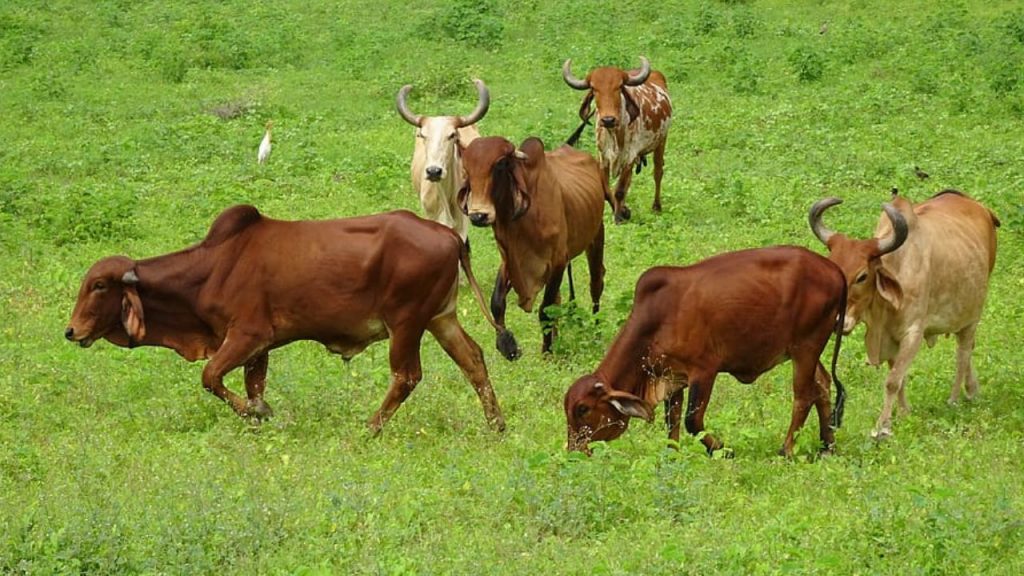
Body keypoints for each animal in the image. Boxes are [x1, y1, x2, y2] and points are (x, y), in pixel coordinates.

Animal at [66, 204, 509, 430]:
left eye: (99, 286)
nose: (71, 331)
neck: (212, 268)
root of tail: (448, 235)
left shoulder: (245, 334)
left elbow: (210, 378)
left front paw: (259, 413)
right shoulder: (259, 348)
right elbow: (251, 385)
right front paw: (259, 417)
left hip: (407, 323)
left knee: (407, 376)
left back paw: (370, 427)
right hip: (440, 318)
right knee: (473, 360)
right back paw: (496, 424)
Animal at [460, 136, 610, 356]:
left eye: (500, 164)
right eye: (466, 169)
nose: (478, 215)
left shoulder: (558, 261)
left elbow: (545, 310)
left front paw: (547, 352)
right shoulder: (509, 261)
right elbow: (496, 302)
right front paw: (506, 344)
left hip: (597, 235)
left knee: (596, 284)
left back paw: (597, 334)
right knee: (560, 298)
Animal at [561, 55, 671, 222]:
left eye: (619, 87)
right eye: (594, 89)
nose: (608, 120)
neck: (613, 134)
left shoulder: (629, 157)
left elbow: (619, 190)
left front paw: (619, 216)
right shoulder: (603, 157)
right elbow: (607, 190)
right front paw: (623, 210)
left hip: (661, 141)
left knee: (658, 173)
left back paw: (656, 207)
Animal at [565, 247, 843, 457]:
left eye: (583, 409)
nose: (574, 451)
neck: (656, 321)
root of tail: (834, 270)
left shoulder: (704, 371)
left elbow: (692, 421)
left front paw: (724, 450)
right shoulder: (672, 377)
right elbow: (673, 421)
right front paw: (672, 456)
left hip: (806, 346)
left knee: (803, 396)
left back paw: (786, 450)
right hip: (806, 350)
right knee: (822, 385)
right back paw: (827, 446)